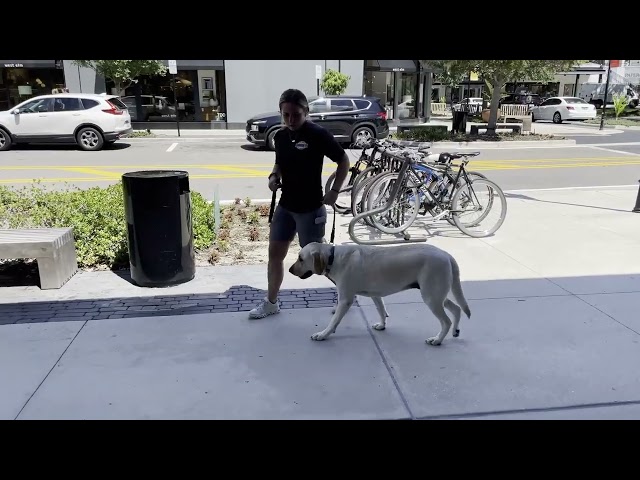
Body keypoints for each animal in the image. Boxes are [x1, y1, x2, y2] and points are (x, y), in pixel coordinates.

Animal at [290, 244, 470, 344]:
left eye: (300, 258)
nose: (290, 270)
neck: (333, 257)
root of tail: (446, 254)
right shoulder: (375, 295)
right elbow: (381, 310)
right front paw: (382, 325)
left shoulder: (345, 299)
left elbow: (334, 321)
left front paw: (323, 334)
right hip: (436, 295)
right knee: (456, 309)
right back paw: (455, 331)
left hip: (431, 297)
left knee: (446, 321)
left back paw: (437, 340)